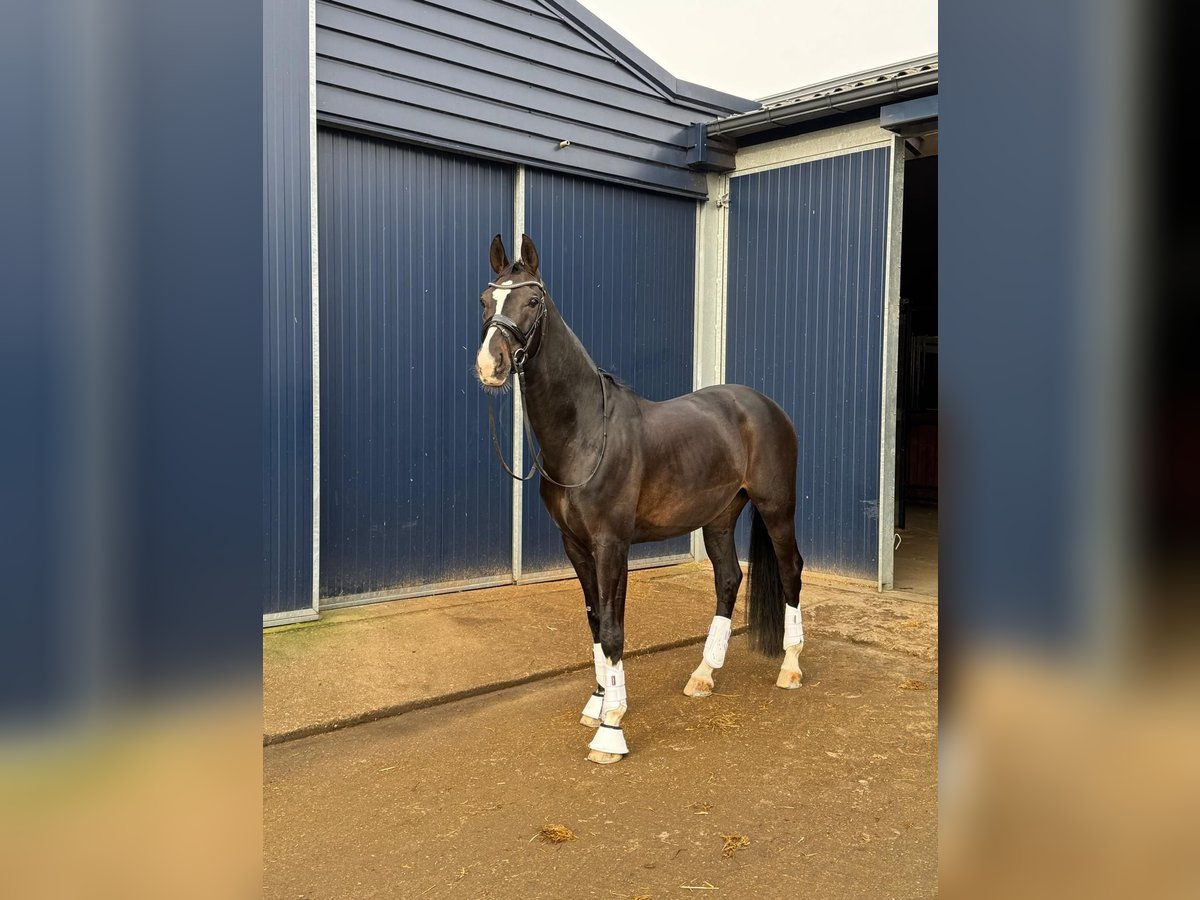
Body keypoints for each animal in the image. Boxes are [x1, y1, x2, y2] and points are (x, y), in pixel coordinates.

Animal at [470, 236, 806, 763]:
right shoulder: (576, 546)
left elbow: (613, 628)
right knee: (729, 579)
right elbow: (594, 622)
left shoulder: (612, 545)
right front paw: (598, 702)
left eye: (533, 300)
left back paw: (790, 668)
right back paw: (702, 676)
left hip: (777, 507)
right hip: (719, 516)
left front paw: (611, 729)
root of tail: (763, 406)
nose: (491, 365)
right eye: (487, 300)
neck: (585, 433)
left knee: (791, 570)